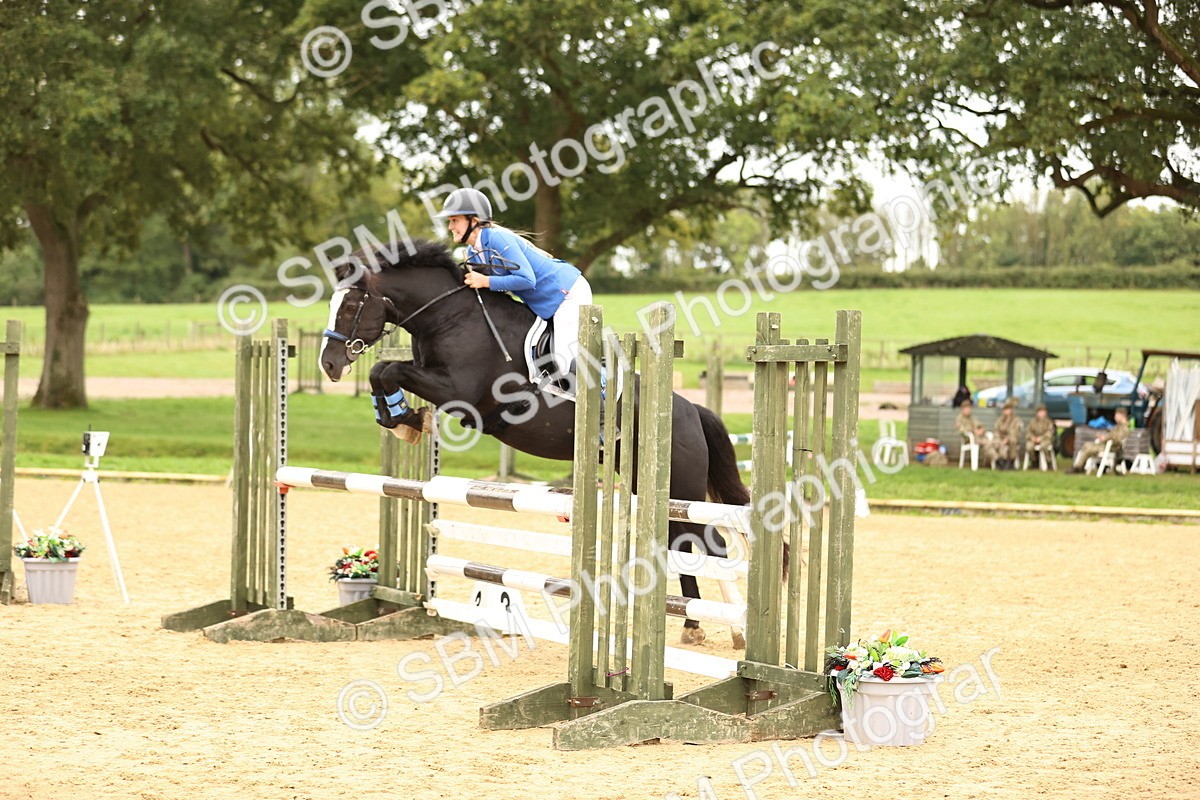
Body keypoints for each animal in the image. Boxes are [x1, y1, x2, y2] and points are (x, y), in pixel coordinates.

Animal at [319, 238, 751, 646]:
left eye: (351, 304)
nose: (329, 364)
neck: (449, 317)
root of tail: (692, 410)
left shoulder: (459, 392)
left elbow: (387, 369)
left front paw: (405, 418)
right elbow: (381, 370)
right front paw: (401, 420)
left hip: (682, 488)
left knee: (710, 545)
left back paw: (733, 630)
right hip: (648, 487)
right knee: (681, 546)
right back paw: (692, 624)